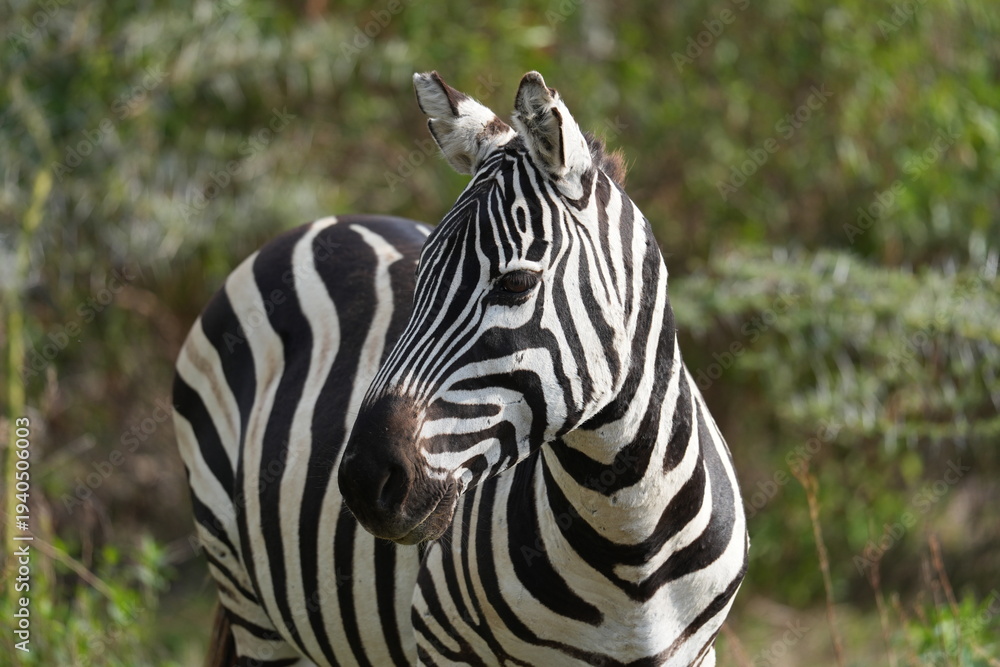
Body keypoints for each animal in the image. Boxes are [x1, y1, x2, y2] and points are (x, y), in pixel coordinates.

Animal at [173, 71, 748, 667]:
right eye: (419, 276)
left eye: (516, 283)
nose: (363, 481)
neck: (631, 538)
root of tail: (316, 224)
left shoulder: (698, 651)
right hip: (244, 593)